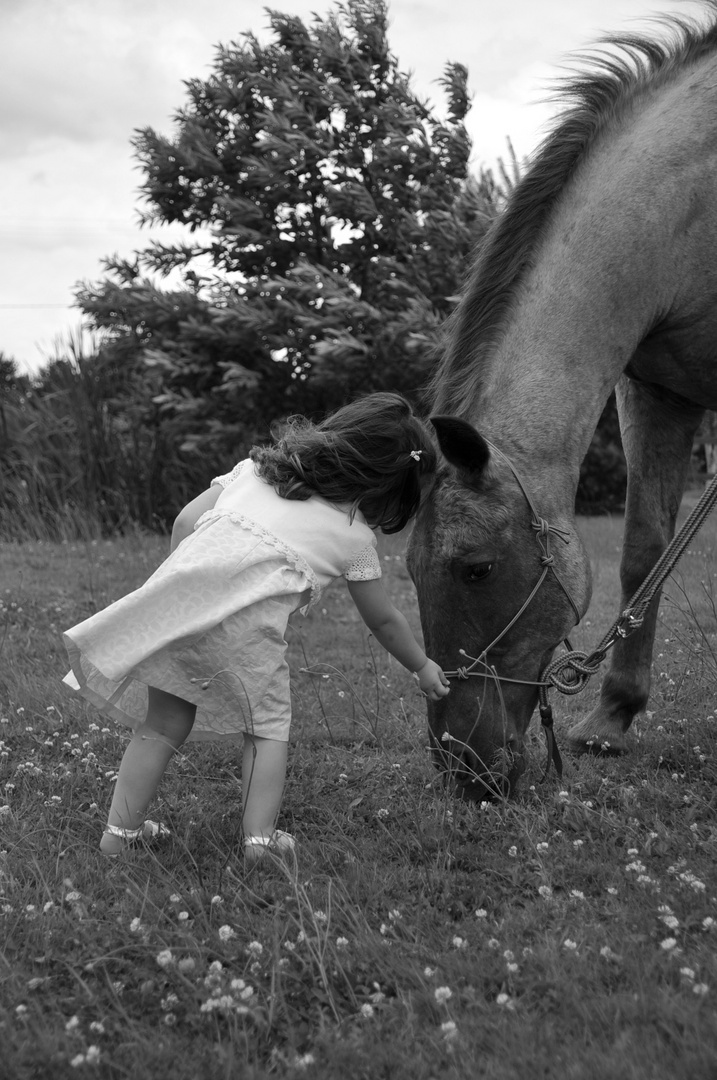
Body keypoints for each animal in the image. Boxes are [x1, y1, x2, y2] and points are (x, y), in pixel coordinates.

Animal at [406, 4, 717, 803]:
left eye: (476, 569)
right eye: (411, 572)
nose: (461, 767)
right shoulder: (656, 392)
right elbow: (643, 552)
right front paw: (611, 717)